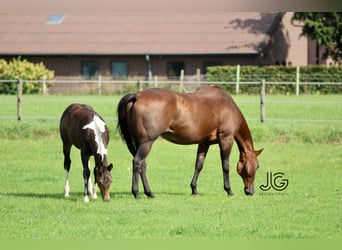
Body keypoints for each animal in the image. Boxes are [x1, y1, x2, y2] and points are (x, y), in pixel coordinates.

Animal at [116, 85, 264, 198]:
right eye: (257, 166)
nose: (250, 191)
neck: (227, 107)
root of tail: (137, 95)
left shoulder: (204, 143)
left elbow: (199, 165)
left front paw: (194, 190)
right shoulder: (226, 139)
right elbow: (225, 166)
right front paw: (229, 190)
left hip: (140, 143)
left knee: (142, 165)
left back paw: (149, 193)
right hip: (147, 142)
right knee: (137, 162)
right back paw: (136, 193)